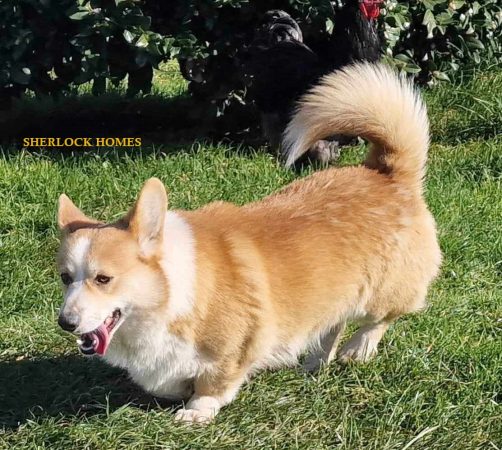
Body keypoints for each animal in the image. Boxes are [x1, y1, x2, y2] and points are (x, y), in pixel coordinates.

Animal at [57, 62, 440, 422]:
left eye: (103, 279)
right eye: (65, 277)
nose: (65, 323)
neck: (170, 290)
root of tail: (386, 174)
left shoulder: (233, 348)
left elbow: (214, 383)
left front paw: (196, 412)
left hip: (382, 295)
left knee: (381, 318)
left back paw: (357, 349)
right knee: (333, 324)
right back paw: (315, 361)